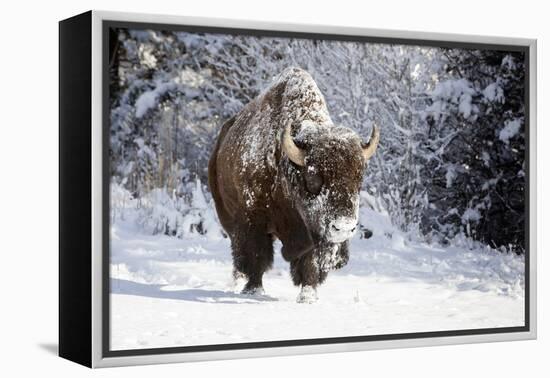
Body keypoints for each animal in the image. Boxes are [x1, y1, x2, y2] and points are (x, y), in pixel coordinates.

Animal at [207, 67, 380, 304]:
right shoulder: (252, 219)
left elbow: (310, 262)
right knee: (239, 252)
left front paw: (308, 296)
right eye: (313, 177)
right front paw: (253, 290)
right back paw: (236, 283)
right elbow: (256, 256)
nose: (343, 227)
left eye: (359, 178)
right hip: (226, 216)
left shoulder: (311, 232)